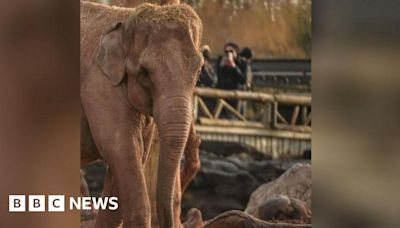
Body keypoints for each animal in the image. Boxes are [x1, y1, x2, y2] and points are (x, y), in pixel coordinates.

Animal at [79, 1, 203, 228]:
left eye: (199, 71)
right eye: (144, 74)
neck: (125, 19)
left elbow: (135, 153)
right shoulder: (98, 86)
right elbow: (120, 147)